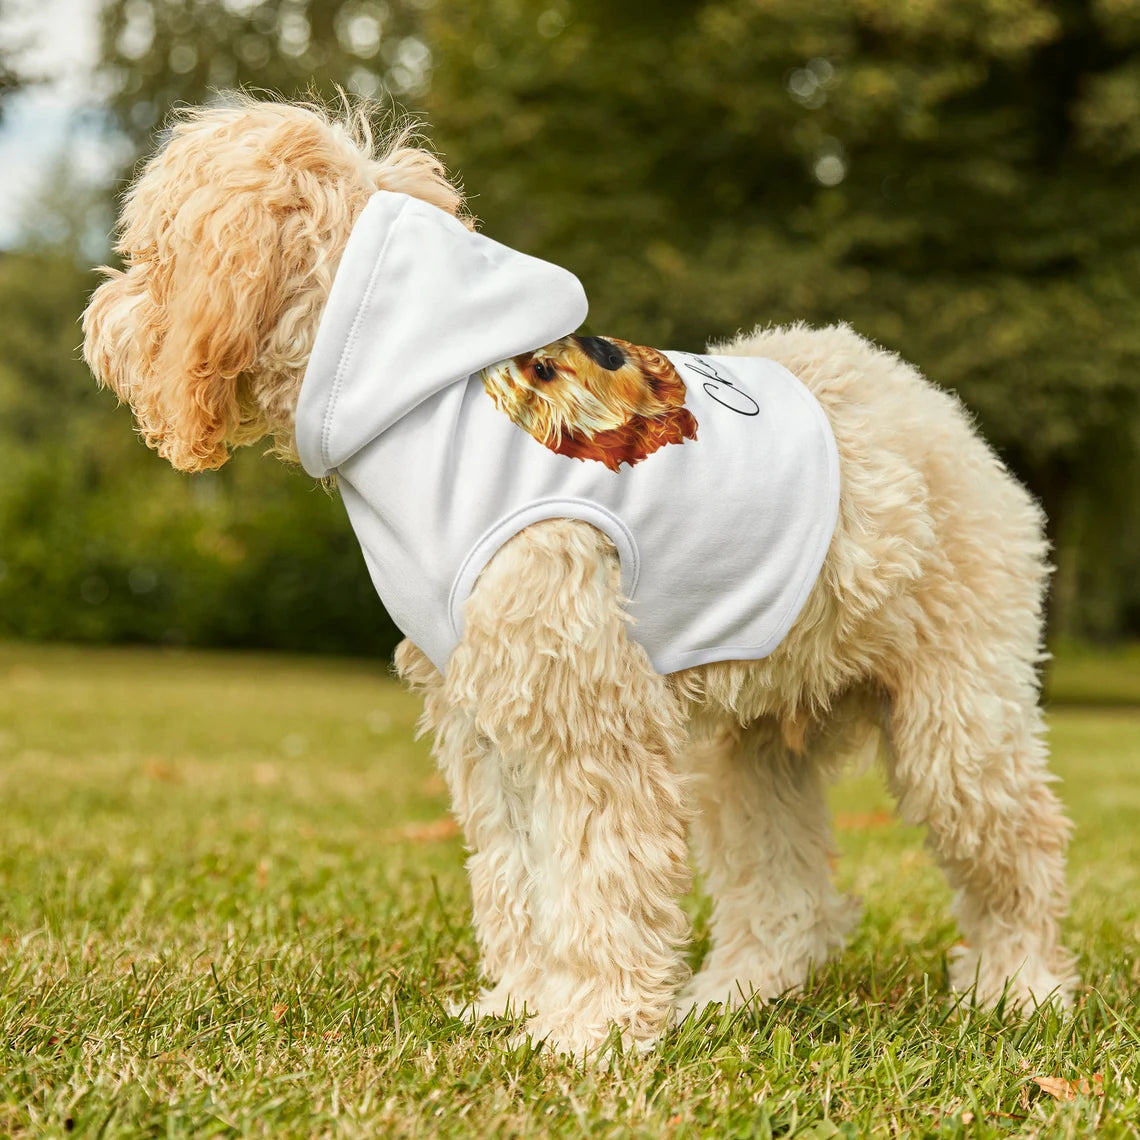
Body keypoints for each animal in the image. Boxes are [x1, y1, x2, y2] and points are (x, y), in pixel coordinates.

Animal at [82, 98, 1076, 1057]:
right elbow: (518, 876)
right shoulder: (488, 718)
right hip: (751, 747)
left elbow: (600, 876)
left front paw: (589, 1031)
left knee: (1020, 846)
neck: (417, 397)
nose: (98, 321)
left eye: (150, 252)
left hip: (958, 718)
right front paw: (522, 1006)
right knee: (786, 893)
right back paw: (735, 995)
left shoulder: (588, 714)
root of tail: (937, 409)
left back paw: (1019, 989)